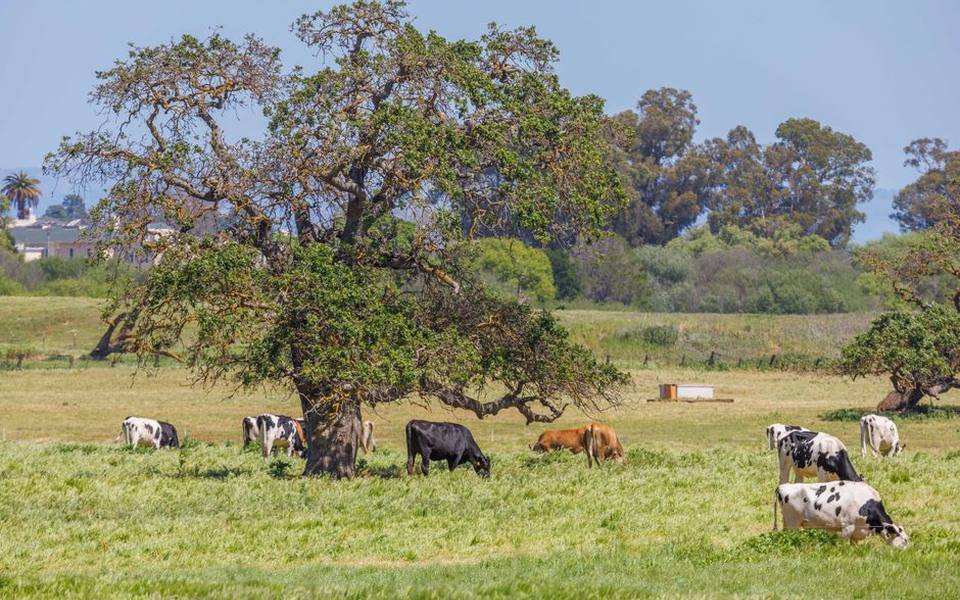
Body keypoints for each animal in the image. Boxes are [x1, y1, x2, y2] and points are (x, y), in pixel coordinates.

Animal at [773, 481, 909, 548]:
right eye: (905, 540)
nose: (909, 552)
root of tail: (783, 486)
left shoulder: (857, 531)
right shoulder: (848, 527)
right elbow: (845, 545)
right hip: (792, 523)